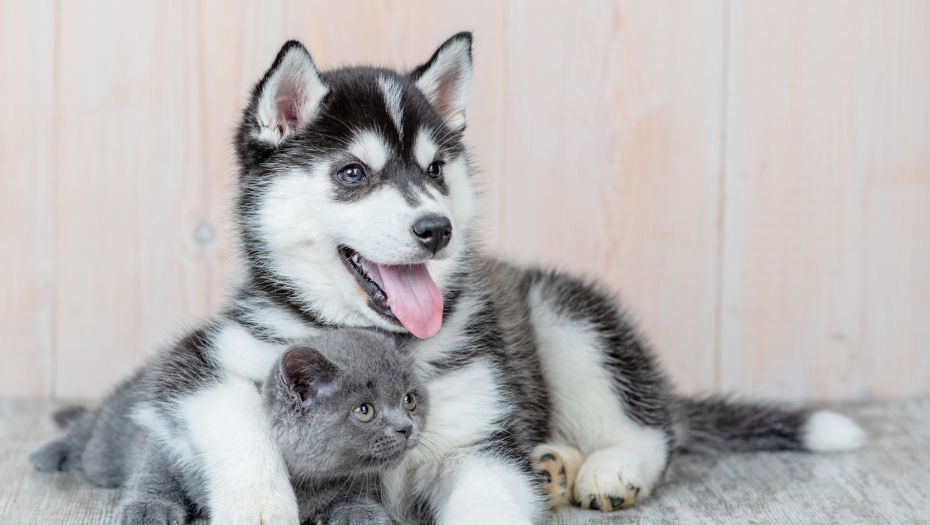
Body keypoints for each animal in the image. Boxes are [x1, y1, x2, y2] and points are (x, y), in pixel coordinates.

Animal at [25, 328, 424, 524]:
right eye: (364, 410)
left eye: (410, 400)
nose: (406, 428)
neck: (300, 481)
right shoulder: (172, 433)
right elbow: (154, 470)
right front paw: (147, 508)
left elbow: (353, 496)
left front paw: (361, 513)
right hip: (108, 444)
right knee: (89, 434)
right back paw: (49, 452)